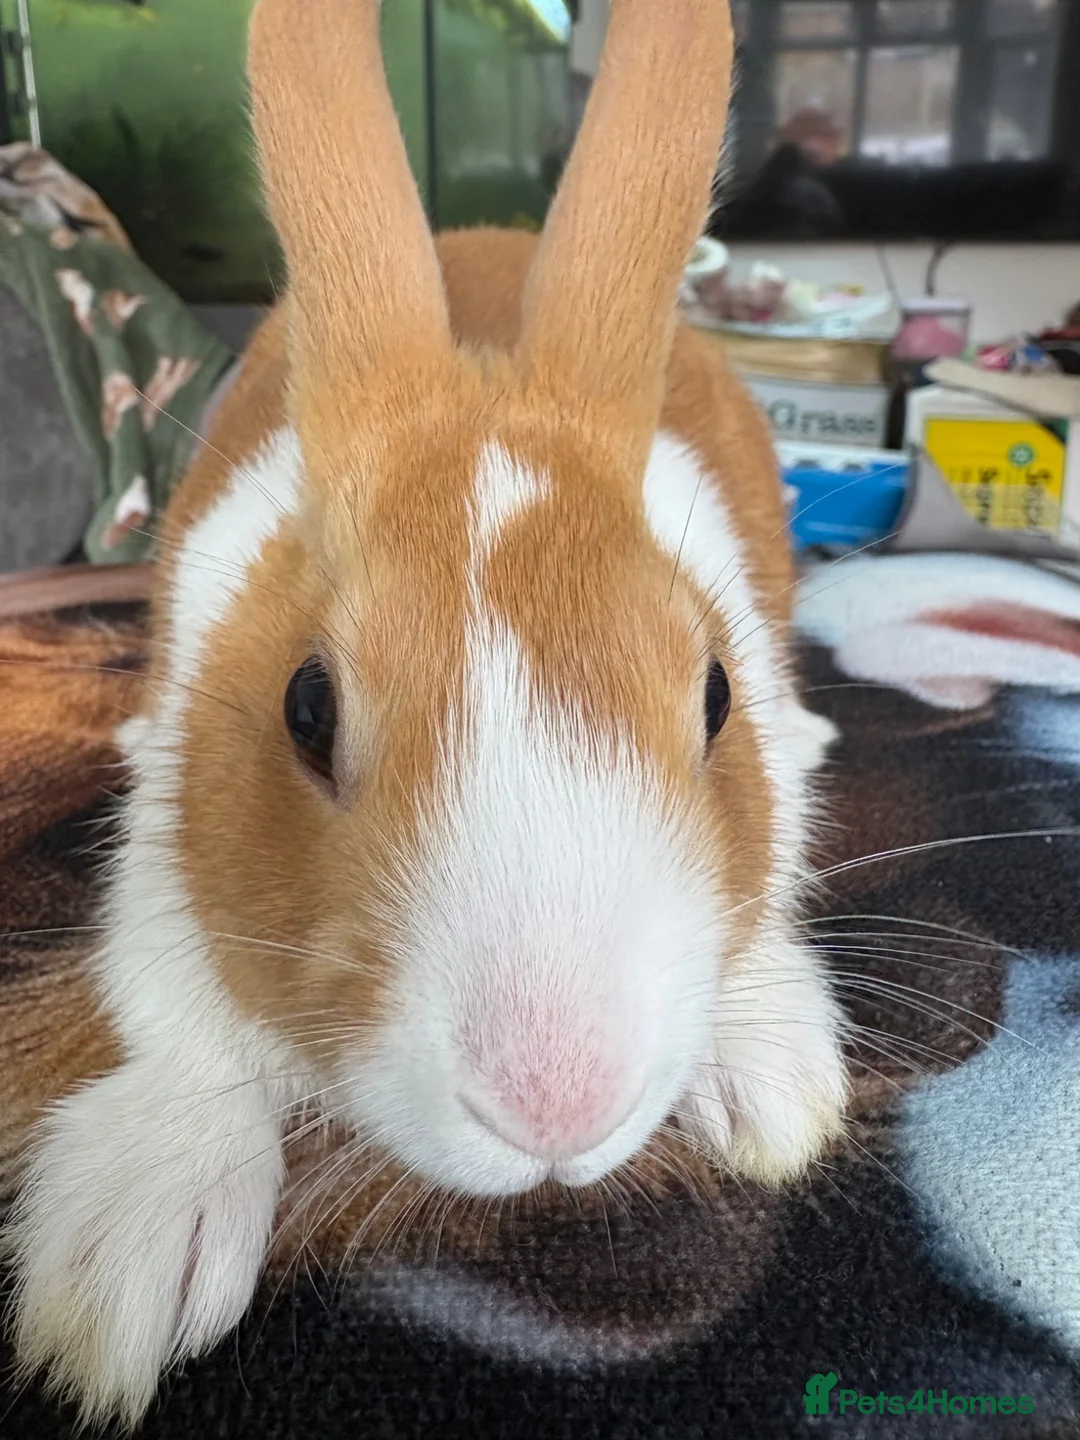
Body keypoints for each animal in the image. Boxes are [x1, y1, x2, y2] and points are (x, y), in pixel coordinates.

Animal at [3, 0, 845, 1425]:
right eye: (306, 706)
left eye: (716, 695)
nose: (556, 1107)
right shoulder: (165, 846)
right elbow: (176, 1016)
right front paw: (122, 1273)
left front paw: (783, 1084)